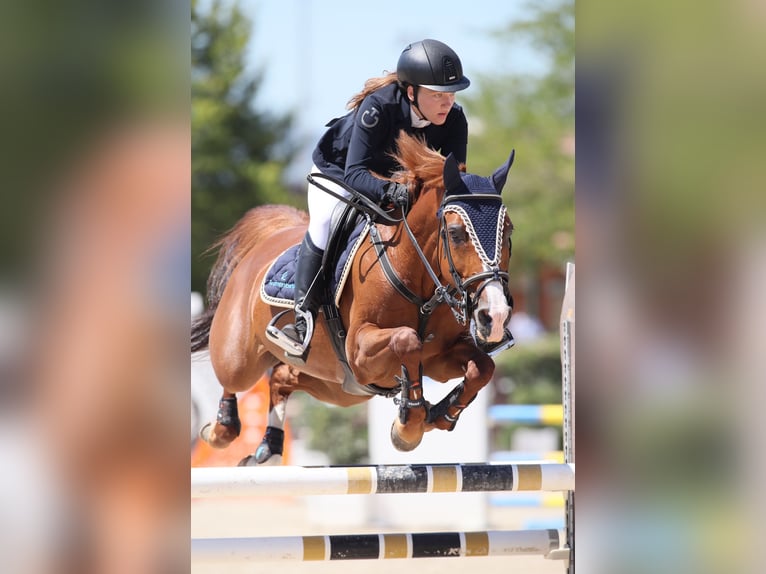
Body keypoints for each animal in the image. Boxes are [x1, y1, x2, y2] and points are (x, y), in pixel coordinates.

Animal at [191, 133, 516, 466]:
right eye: (455, 233)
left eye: (509, 232)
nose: (494, 316)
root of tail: (269, 239)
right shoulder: (360, 352)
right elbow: (407, 339)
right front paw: (408, 427)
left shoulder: (438, 358)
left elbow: (482, 368)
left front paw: (438, 414)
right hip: (243, 358)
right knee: (233, 378)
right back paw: (221, 429)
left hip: (338, 388)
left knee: (282, 377)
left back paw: (268, 448)